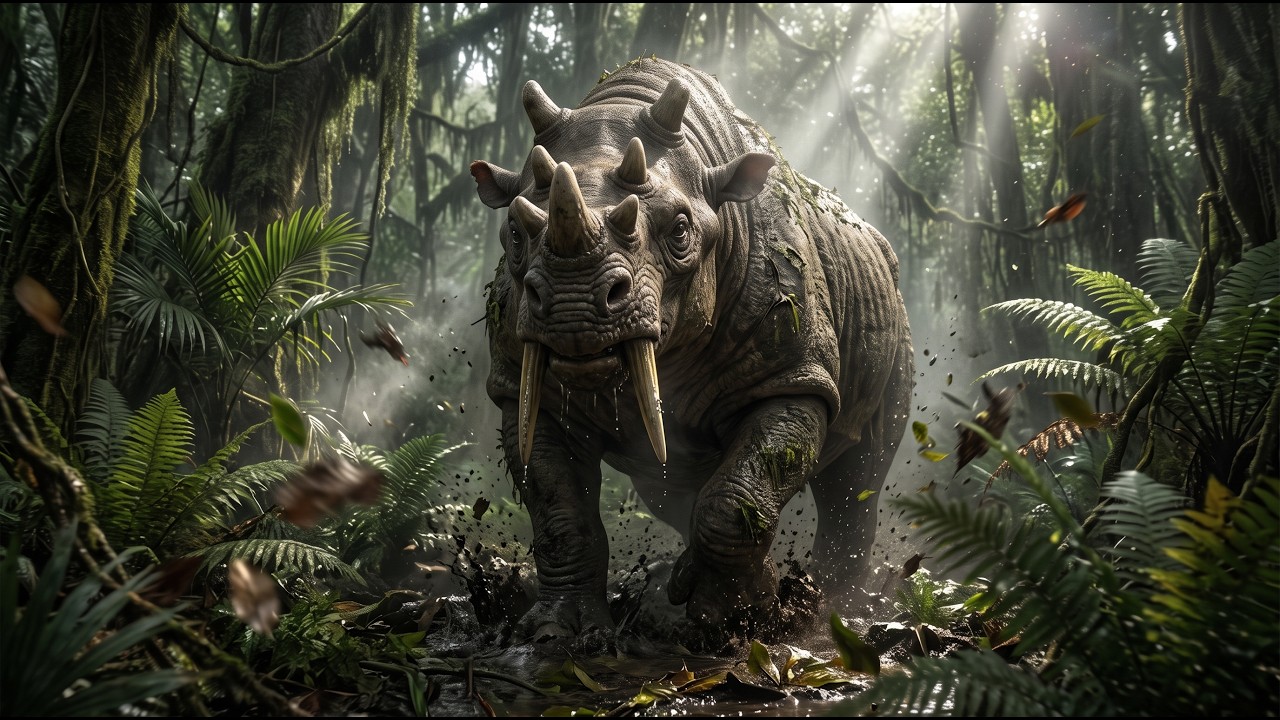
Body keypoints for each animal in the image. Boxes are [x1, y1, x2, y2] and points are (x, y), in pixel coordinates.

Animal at [470, 58, 913, 647]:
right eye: (516, 233)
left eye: (680, 230)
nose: (573, 303)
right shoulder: (519, 384)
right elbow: (558, 511)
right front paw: (560, 633)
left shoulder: (792, 373)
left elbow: (740, 495)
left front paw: (732, 616)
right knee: (668, 481)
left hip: (891, 307)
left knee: (860, 472)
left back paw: (828, 605)